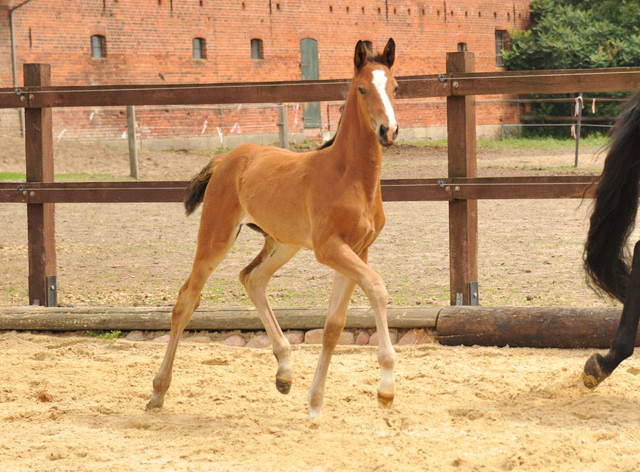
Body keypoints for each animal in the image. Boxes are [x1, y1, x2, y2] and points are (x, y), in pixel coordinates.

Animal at [149, 38, 400, 418]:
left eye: (396, 88)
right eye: (362, 88)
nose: (389, 131)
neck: (351, 177)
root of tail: (228, 158)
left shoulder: (358, 250)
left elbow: (334, 324)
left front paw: (315, 404)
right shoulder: (330, 249)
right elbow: (377, 288)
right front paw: (385, 387)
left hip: (283, 243)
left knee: (252, 278)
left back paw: (284, 372)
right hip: (217, 235)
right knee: (187, 298)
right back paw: (158, 391)